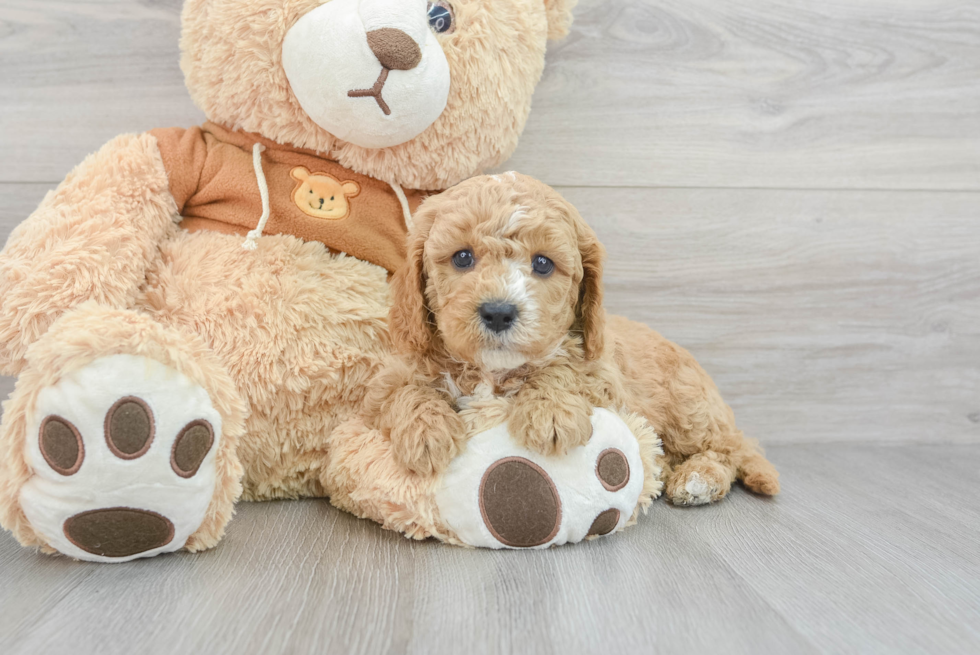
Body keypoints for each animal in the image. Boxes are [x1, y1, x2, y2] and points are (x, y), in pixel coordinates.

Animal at [370, 172, 780, 504]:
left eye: (543, 263)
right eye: (462, 258)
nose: (499, 312)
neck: (494, 372)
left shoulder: (605, 376)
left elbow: (566, 370)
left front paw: (550, 413)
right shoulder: (392, 372)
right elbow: (403, 390)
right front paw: (426, 430)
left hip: (690, 412)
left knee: (731, 448)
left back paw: (699, 479)